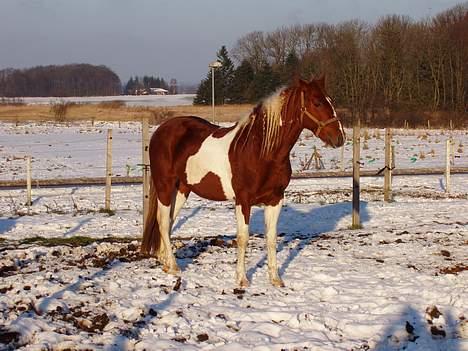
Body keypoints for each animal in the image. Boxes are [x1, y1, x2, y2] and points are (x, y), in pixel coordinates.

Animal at [140, 75, 344, 288]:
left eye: (330, 100)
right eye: (317, 102)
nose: (339, 137)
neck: (261, 151)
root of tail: (161, 130)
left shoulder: (275, 199)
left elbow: (271, 238)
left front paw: (275, 279)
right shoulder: (243, 200)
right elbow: (243, 237)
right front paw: (242, 279)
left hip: (182, 189)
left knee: (170, 221)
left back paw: (165, 261)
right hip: (165, 185)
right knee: (163, 221)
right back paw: (173, 266)